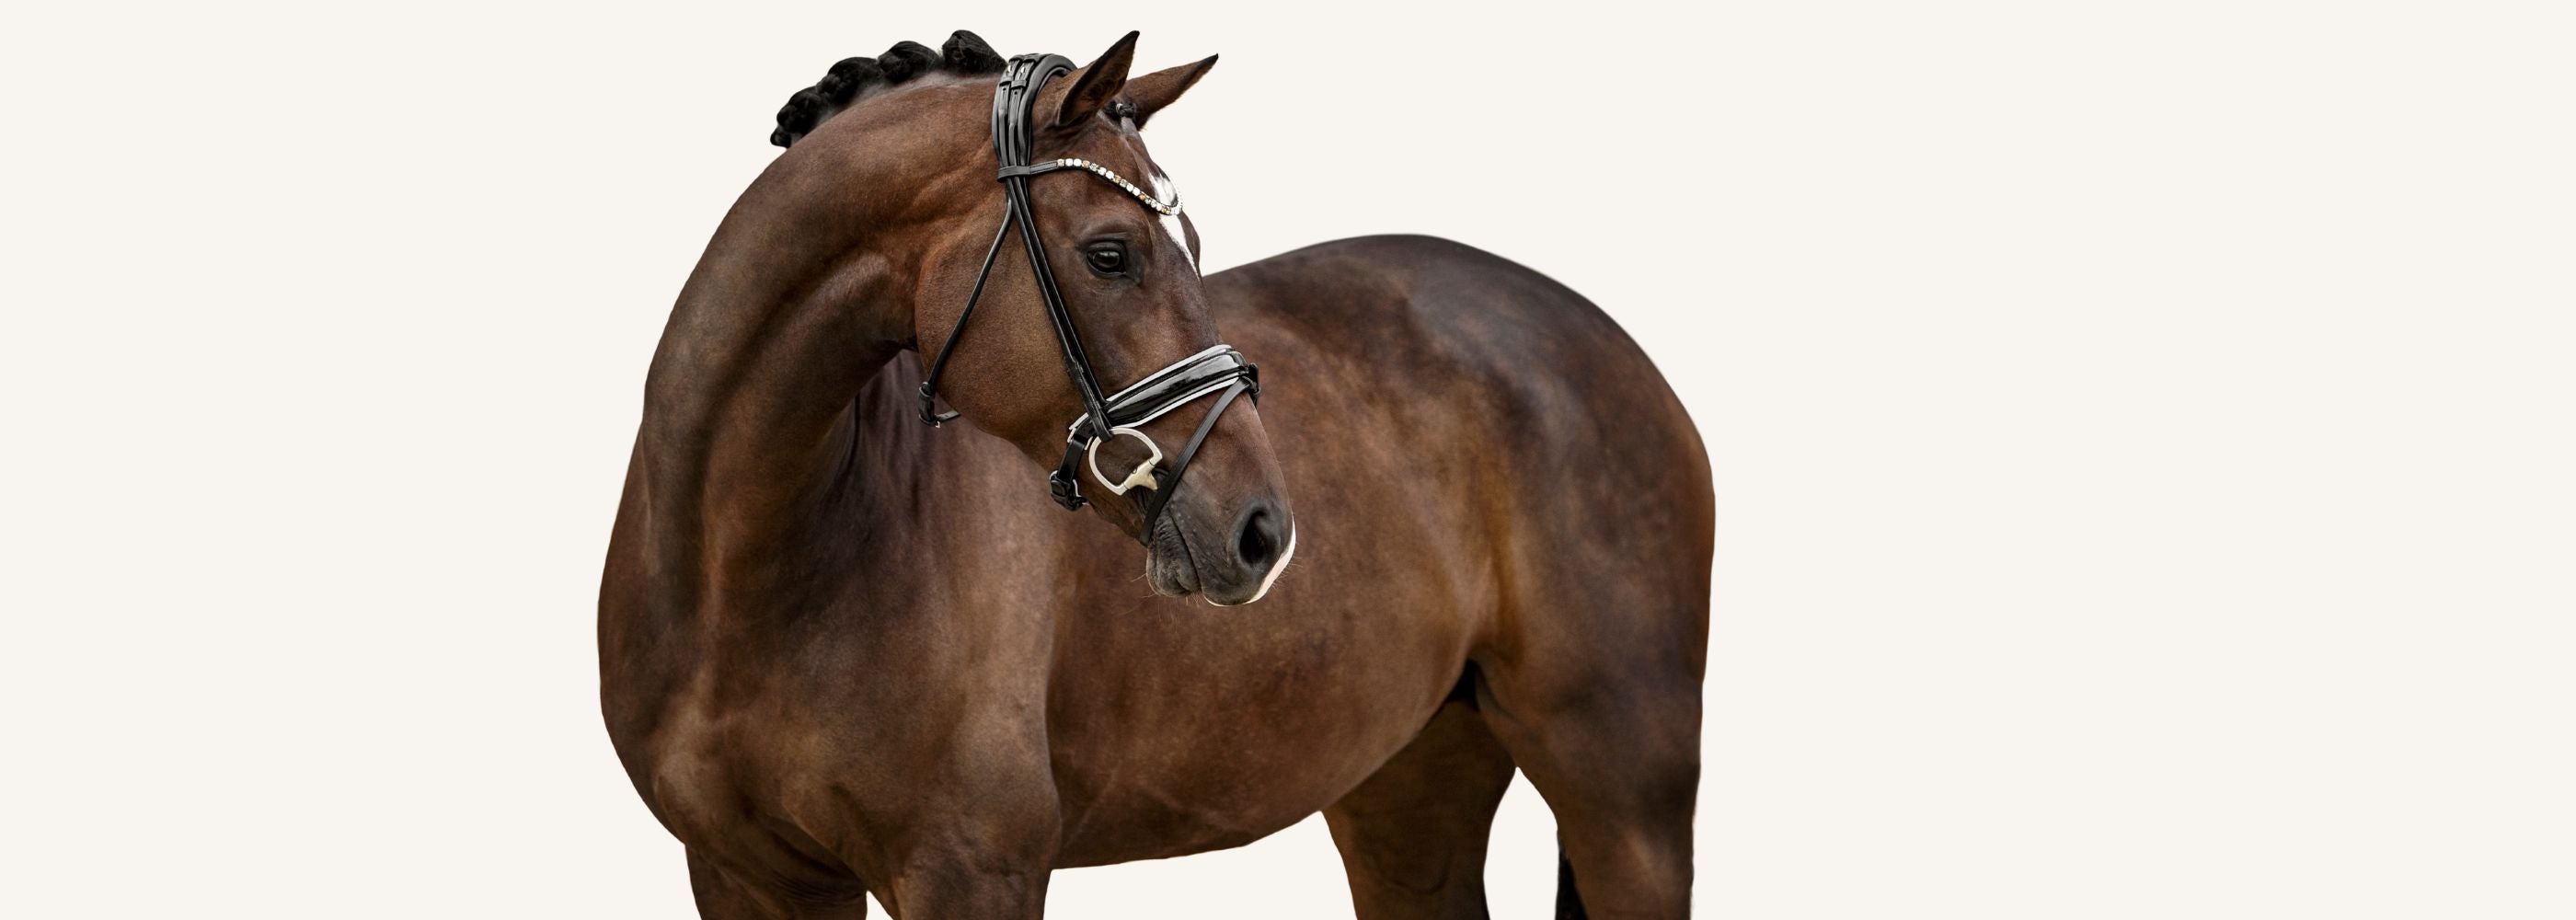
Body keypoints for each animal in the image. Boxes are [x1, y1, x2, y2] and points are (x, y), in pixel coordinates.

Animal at [600, 30, 1712, 919]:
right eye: (1110, 253)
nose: (1262, 532)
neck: (748, 573)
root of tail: (1606, 341)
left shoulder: (970, 872)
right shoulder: (746, 876)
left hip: (1626, 798)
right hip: (1410, 780)